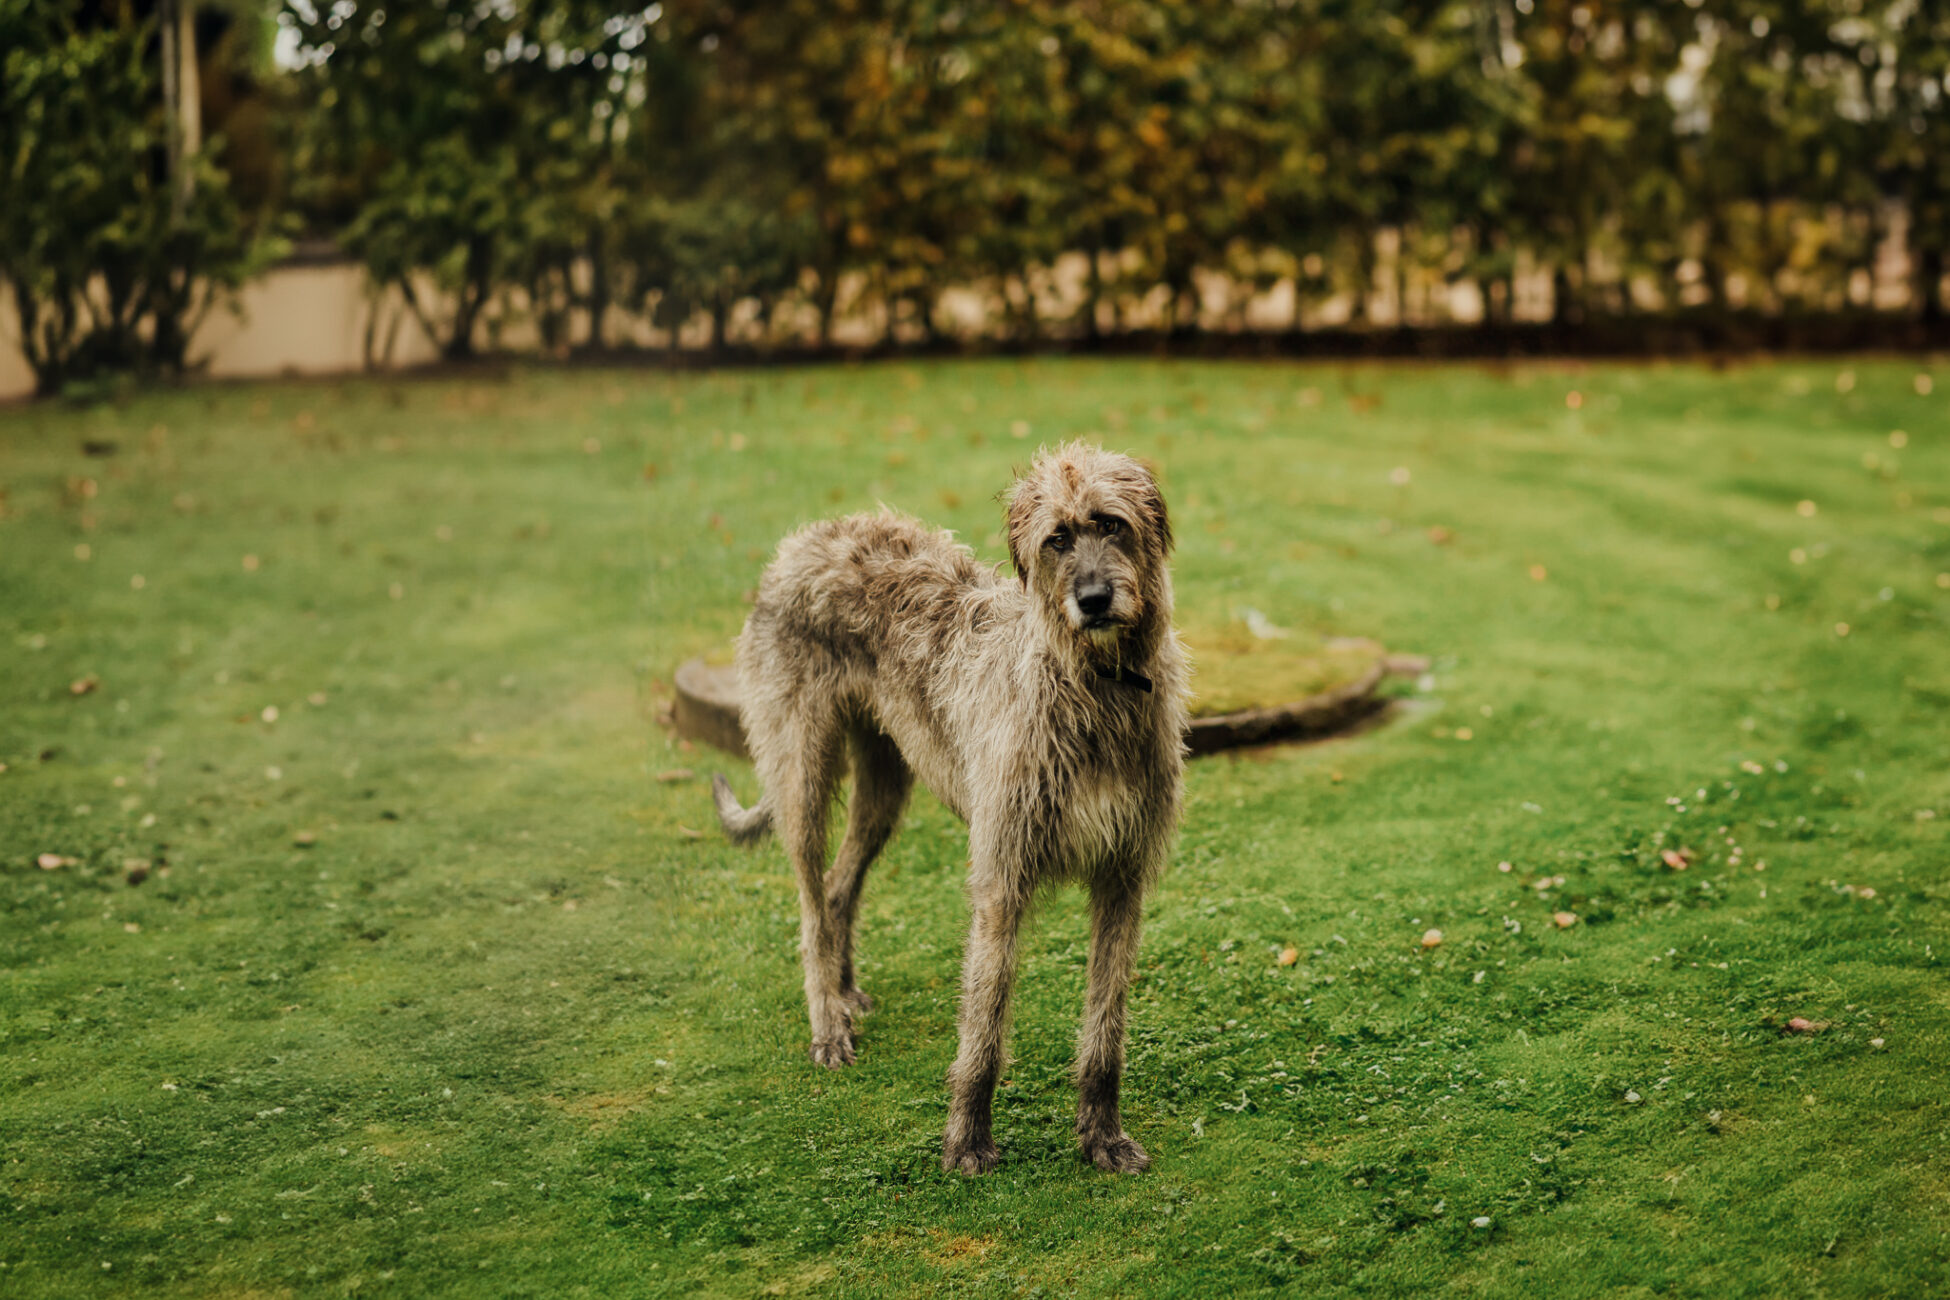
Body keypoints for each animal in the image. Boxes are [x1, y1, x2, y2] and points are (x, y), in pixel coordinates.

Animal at [709, 442, 1177, 1177]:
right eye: (1057, 539)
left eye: (1112, 523)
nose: (1094, 600)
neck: (1093, 687)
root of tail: (803, 539)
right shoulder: (1002, 878)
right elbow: (984, 1024)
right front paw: (967, 1141)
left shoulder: (1122, 878)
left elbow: (1106, 1027)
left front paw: (1102, 1137)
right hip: (800, 771)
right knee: (811, 904)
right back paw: (827, 1023)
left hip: (885, 782)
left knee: (840, 886)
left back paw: (844, 992)